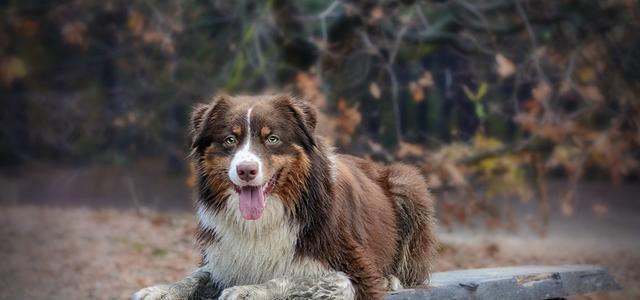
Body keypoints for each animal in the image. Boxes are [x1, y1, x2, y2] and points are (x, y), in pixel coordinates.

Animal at [133, 94, 438, 300]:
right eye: (230, 140)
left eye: (272, 139)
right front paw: (160, 289)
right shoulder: (223, 258)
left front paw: (249, 290)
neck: (262, 222)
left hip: (408, 182)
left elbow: (296, 278)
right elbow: (195, 277)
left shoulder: (357, 275)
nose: (246, 170)